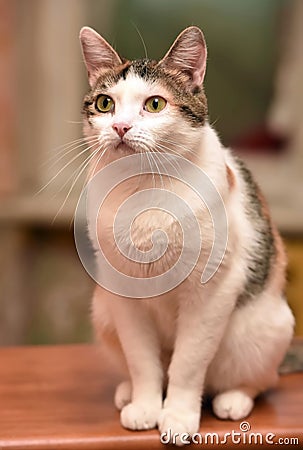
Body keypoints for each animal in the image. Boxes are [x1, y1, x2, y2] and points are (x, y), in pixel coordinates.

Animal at [79, 26, 296, 444]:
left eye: (155, 104)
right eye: (104, 103)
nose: (120, 127)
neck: (144, 187)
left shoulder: (210, 292)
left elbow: (188, 364)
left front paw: (178, 416)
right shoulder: (123, 293)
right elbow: (142, 360)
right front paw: (147, 406)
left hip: (264, 328)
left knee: (258, 380)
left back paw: (233, 399)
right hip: (102, 310)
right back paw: (128, 391)